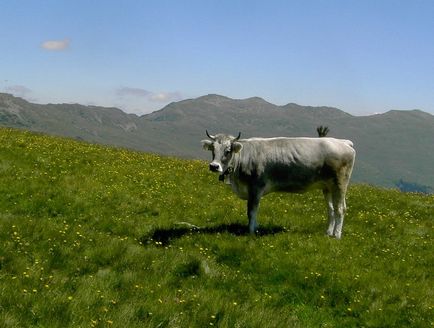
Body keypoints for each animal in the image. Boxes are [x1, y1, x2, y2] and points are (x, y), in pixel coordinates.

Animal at [202, 131, 354, 238]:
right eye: (213, 149)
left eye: (228, 150)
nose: (214, 166)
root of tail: (343, 142)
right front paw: (256, 228)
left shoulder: (256, 187)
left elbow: (251, 211)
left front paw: (250, 232)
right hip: (327, 187)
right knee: (331, 209)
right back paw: (328, 232)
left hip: (340, 183)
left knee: (340, 209)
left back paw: (337, 235)